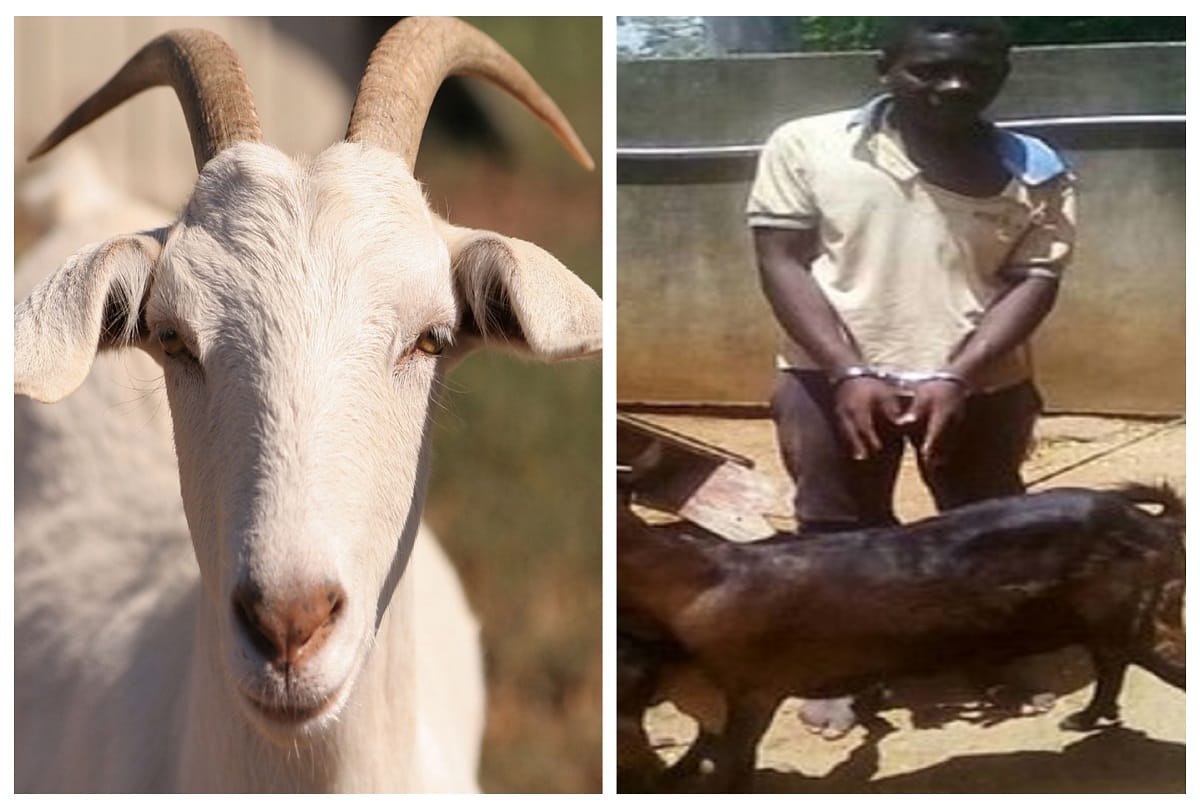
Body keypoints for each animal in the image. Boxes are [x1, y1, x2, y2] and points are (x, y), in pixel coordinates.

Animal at [618, 484, 1185, 791]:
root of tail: (1153, 522)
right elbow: (701, 748)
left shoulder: (753, 691)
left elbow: (731, 763)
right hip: (1111, 624)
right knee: (1115, 663)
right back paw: (1088, 719)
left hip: (1137, 619)